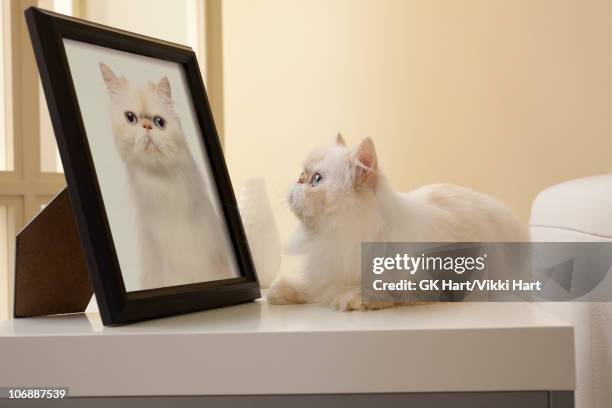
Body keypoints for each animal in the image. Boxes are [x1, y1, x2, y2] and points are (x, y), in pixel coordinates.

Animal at [266, 134, 528, 310]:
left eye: (317, 179)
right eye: (302, 173)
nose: (299, 180)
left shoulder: (419, 284)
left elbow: (374, 289)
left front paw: (352, 298)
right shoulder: (325, 270)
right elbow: (312, 286)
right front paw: (282, 292)